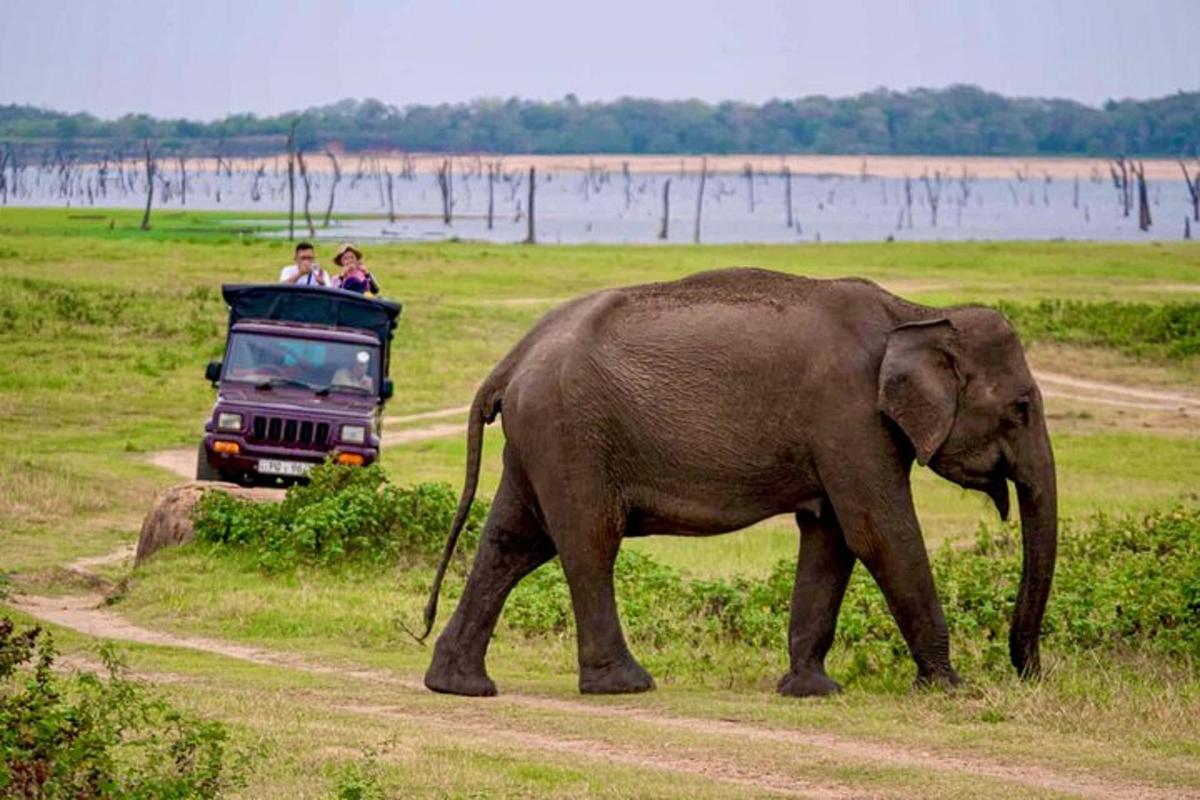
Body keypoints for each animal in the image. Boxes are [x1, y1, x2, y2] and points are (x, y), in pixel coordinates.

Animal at [417, 267, 1056, 695]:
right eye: (1022, 408)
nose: (1028, 674)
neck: (914, 312)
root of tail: (512, 358)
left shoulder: (843, 433)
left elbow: (831, 535)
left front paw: (810, 690)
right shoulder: (848, 416)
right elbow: (879, 533)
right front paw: (951, 688)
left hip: (540, 435)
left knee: (512, 542)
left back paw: (459, 684)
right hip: (571, 430)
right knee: (587, 543)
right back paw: (626, 684)